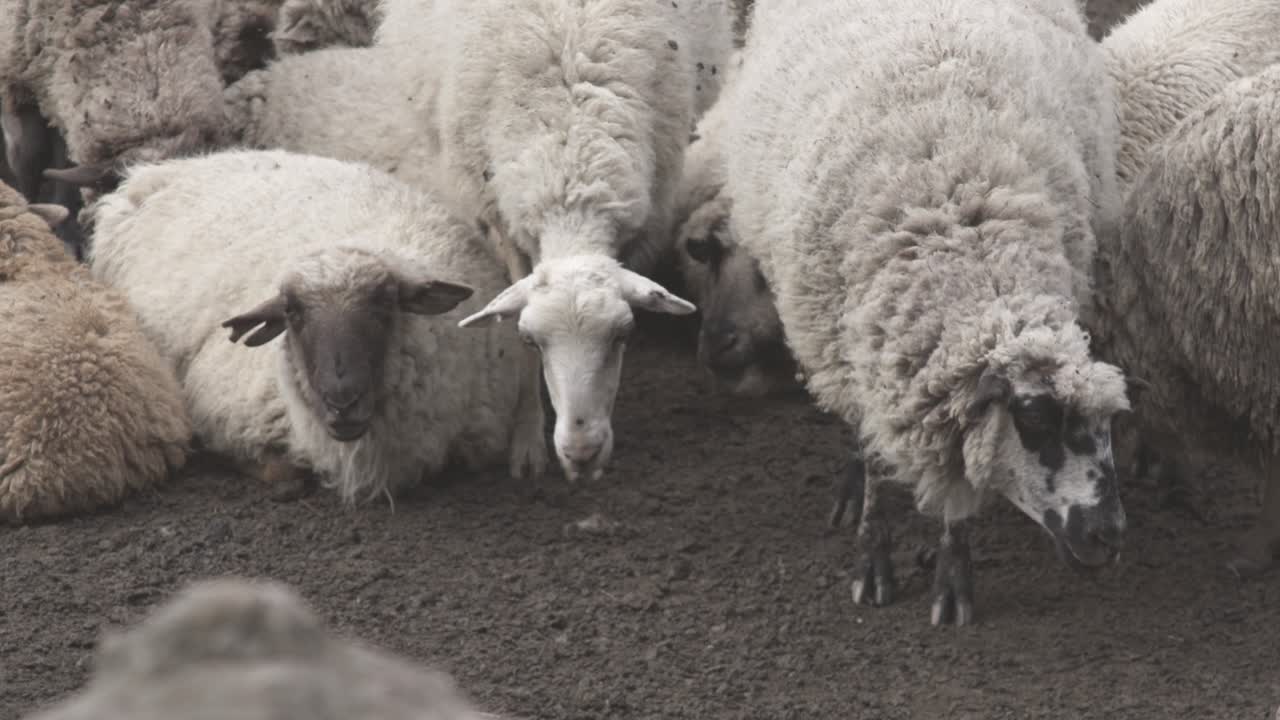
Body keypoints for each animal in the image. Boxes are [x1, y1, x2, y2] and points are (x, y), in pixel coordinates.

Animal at [726, 0, 1134, 625]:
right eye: (1034, 417)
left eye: (1109, 421)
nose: (1108, 538)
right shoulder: (865, 349)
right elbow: (875, 458)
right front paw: (873, 561)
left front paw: (952, 576)